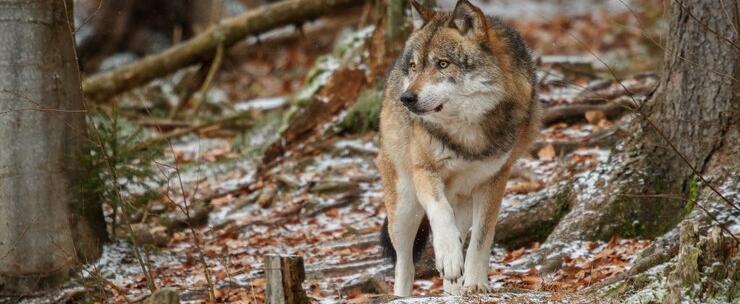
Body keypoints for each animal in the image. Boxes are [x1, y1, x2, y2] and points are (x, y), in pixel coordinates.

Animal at [378, 0, 540, 296]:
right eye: (415, 66)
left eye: (443, 64)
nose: (406, 98)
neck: (467, 134)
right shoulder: (424, 171)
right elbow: (440, 213)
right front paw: (450, 258)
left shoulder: (495, 180)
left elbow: (482, 237)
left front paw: (475, 283)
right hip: (404, 208)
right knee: (404, 263)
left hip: (462, 201)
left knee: (459, 236)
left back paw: (452, 289)